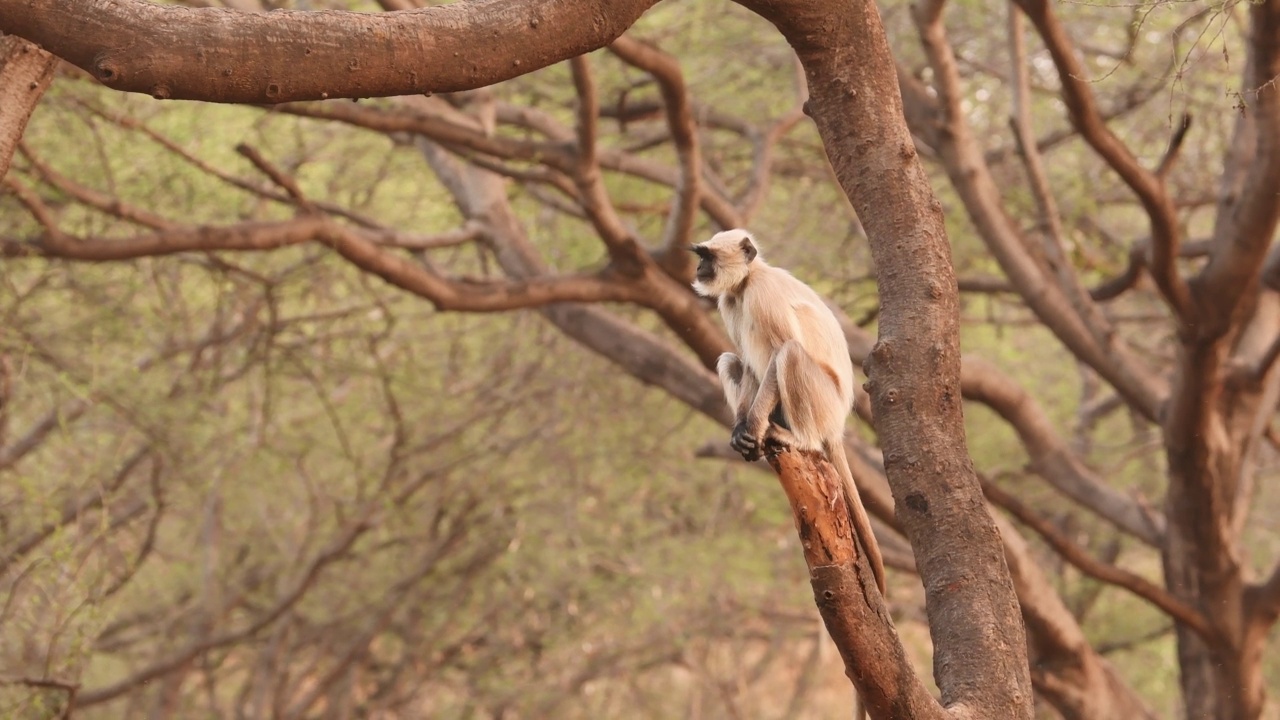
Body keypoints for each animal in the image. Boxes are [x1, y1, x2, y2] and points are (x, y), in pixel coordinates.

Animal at [696, 228, 885, 594]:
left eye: (707, 257)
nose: (698, 268)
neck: (747, 282)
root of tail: (837, 425)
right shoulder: (729, 301)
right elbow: (749, 365)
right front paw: (742, 430)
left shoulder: (762, 295)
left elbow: (779, 349)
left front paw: (753, 427)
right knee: (730, 359)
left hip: (824, 403)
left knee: (790, 352)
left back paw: (799, 439)